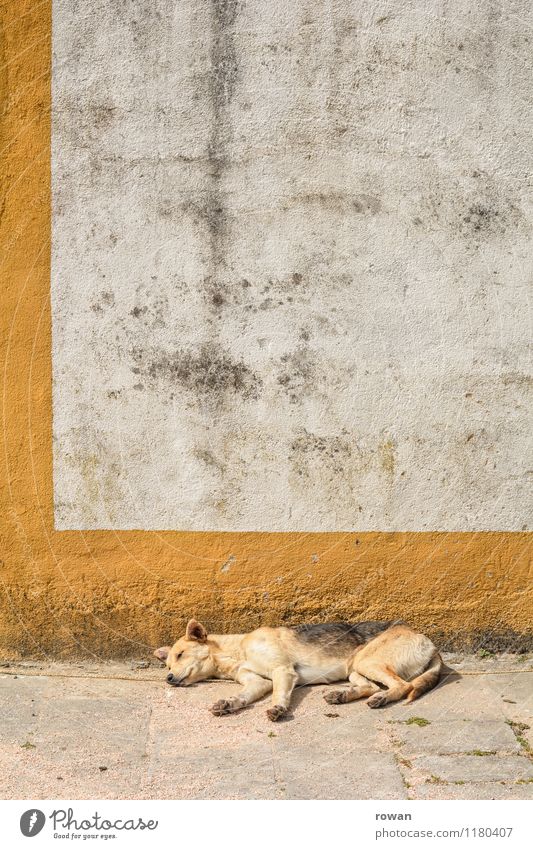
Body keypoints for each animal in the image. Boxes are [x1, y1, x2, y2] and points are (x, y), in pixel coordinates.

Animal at [154, 620, 440, 720]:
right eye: (167, 664)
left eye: (180, 654)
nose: (168, 678)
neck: (237, 649)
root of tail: (426, 639)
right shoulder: (258, 682)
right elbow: (243, 696)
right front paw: (228, 703)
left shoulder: (283, 671)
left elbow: (279, 695)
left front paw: (279, 709)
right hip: (355, 667)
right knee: (369, 686)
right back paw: (342, 695)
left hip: (367, 662)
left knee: (402, 686)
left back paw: (381, 698)